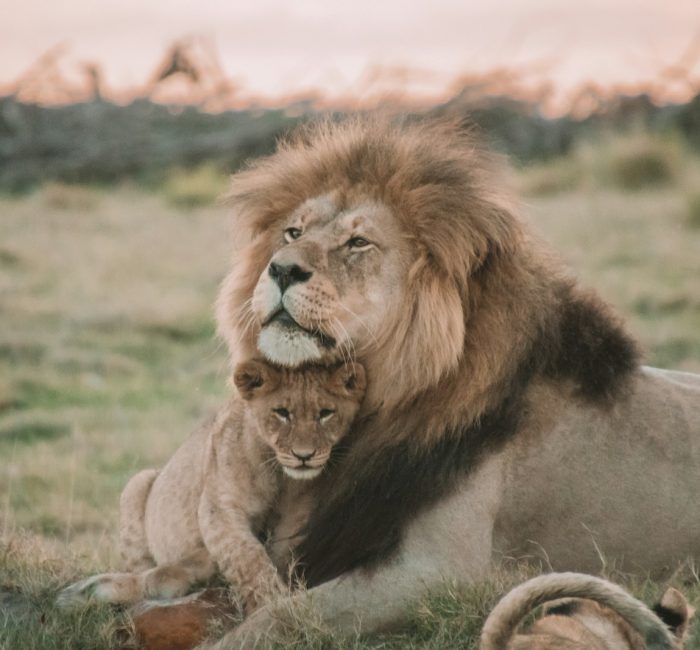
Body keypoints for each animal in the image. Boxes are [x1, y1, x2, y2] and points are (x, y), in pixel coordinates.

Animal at [211, 119, 696, 644]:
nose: (280, 269)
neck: (382, 403)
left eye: (358, 243)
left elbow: (284, 613)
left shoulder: (440, 571)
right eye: (292, 232)